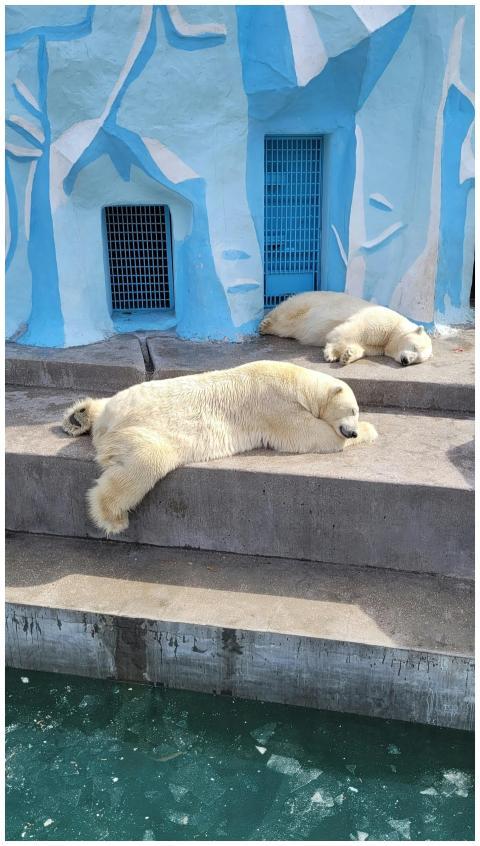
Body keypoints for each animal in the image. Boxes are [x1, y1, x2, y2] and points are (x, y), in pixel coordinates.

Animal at [62, 360, 377, 535]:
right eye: (352, 410)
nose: (352, 430)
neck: (297, 382)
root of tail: (109, 424)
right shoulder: (275, 406)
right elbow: (310, 435)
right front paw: (370, 431)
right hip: (147, 431)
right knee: (144, 464)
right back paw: (112, 518)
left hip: (121, 401)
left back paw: (78, 416)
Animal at [259, 291, 433, 366]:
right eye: (415, 347)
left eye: (417, 359)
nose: (405, 361)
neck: (394, 331)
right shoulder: (380, 320)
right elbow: (351, 331)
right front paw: (331, 354)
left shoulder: (377, 347)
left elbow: (362, 347)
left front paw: (347, 355)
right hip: (307, 303)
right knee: (288, 313)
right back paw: (265, 325)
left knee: (287, 328)